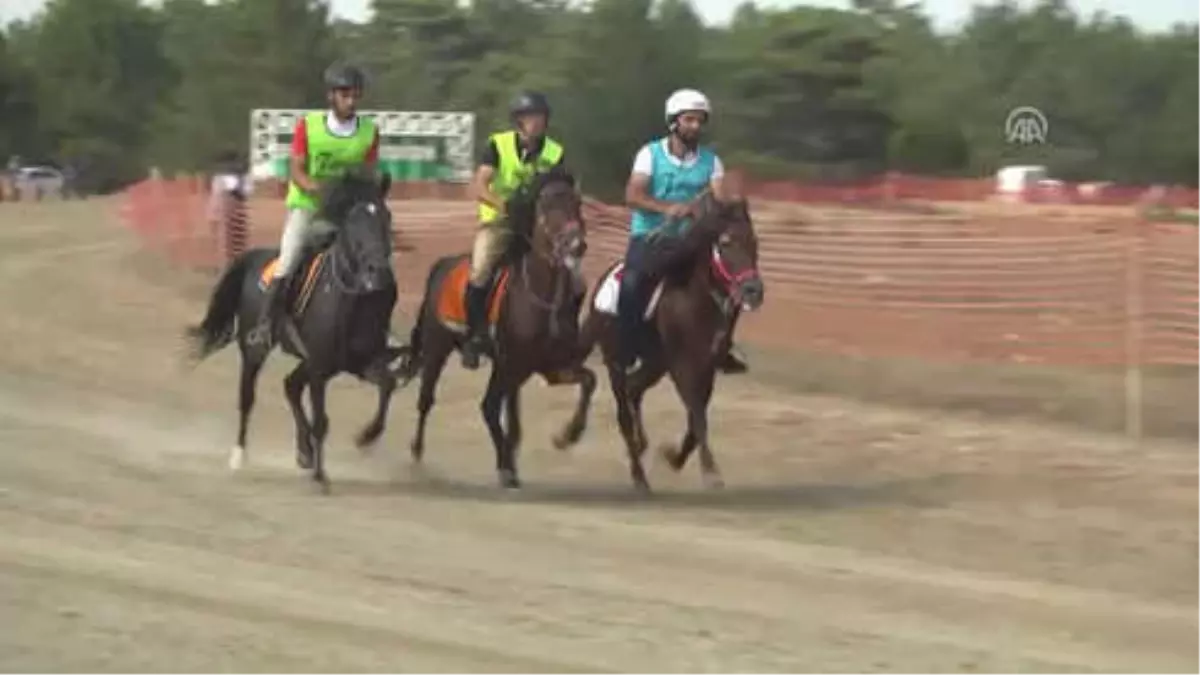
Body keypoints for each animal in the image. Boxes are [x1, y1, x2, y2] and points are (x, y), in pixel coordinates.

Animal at [187, 170, 400, 492]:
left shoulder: (359, 361)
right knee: (248, 398)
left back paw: (304, 452)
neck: (351, 298)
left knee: (290, 386)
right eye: (353, 221)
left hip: (316, 363)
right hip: (256, 351)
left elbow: (388, 385)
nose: (380, 271)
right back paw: (240, 457)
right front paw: (321, 477)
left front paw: (366, 436)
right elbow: (322, 421)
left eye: (387, 216)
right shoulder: (321, 366)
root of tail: (254, 257)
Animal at [396, 165, 597, 485]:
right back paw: (418, 452)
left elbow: (590, 381)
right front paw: (507, 465)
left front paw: (567, 436)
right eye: (547, 205)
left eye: (577, 203)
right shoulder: (512, 365)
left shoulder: (551, 367)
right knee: (429, 400)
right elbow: (502, 415)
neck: (541, 295)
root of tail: (443, 265)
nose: (577, 245)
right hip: (437, 347)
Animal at [576, 192, 763, 492]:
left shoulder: (706, 367)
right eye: (725, 243)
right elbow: (697, 416)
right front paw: (710, 472)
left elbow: (695, 420)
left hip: (655, 364)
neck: (696, 296)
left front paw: (673, 457)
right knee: (623, 412)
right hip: (618, 360)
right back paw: (638, 476)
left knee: (634, 389)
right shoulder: (682, 367)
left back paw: (641, 443)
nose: (753, 291)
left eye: (754, 241)